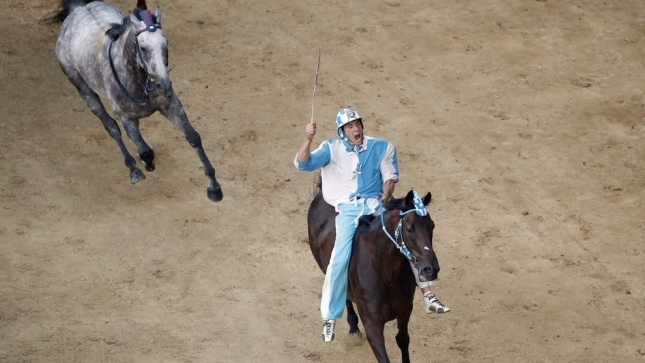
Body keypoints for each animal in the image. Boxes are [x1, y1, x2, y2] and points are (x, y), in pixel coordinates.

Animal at [308, 185, 440, 363]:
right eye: (409, 228)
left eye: (431, 226)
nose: (431, 269)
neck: (386, 273)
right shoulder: (372, 325)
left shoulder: (405, 309)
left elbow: (403, 339)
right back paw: (352, 329)